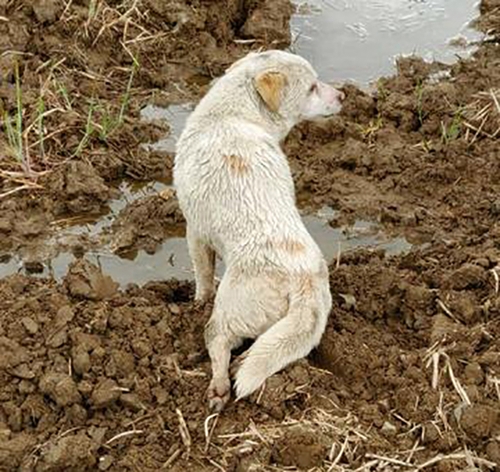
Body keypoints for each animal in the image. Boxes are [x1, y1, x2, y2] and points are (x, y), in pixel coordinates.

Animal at [173, 48, 344, 410]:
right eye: (312, 87)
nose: (343, 95)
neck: (232, 114)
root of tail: (305, 284)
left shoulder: (195, 231)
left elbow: (203, 278)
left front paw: (196, 302)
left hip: (231, 309)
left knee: (218, 340)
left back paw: (220, 386)